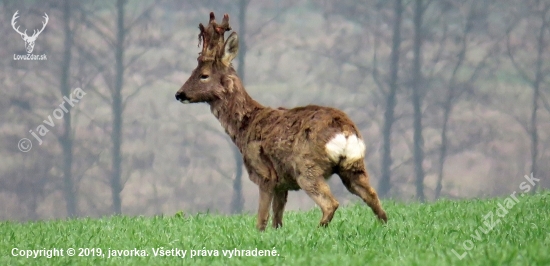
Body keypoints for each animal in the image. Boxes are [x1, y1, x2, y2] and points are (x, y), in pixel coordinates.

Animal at [177, 11, 388, 231]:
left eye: (204, 75)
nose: (179, 94)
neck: (245, 127)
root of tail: (345, 130)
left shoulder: (264, 174)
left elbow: (261, 220)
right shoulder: (282, 183)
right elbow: (277, 220)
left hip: (306, 168)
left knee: (331, 203)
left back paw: (317, 230)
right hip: (354, 166)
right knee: (374, 199)